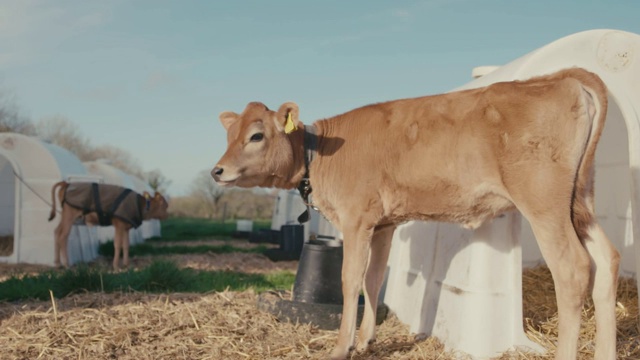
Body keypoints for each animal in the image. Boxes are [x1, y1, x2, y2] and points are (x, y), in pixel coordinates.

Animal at [214, 68, 620, 360]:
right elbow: (373, 280)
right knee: (608, 259)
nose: (217, 171)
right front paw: (366, 341)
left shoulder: (356, 218)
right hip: (579, 202)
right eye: (229, 135)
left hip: (544, 202)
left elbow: (350, 280)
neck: (320, 153)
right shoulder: (383, 224)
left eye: (256, 136)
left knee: (572, 269)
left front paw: (342, 347)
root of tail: (560, 78)